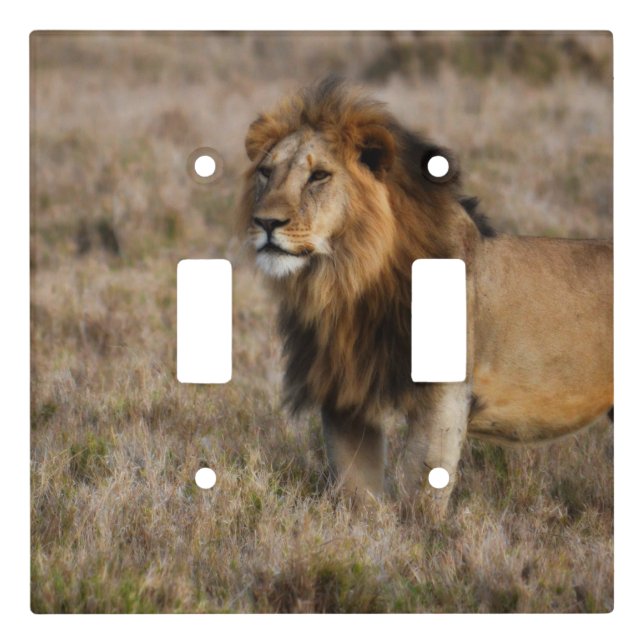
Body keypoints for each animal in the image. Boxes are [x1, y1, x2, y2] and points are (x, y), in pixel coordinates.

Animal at [239, 77, 613, 516]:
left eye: (319, 176)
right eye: (266, 172)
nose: (265, 222)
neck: (347, 280)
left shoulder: (444, 395)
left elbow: (420, 487)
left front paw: (421, 531)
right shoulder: (344, 392)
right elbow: (355, 489)